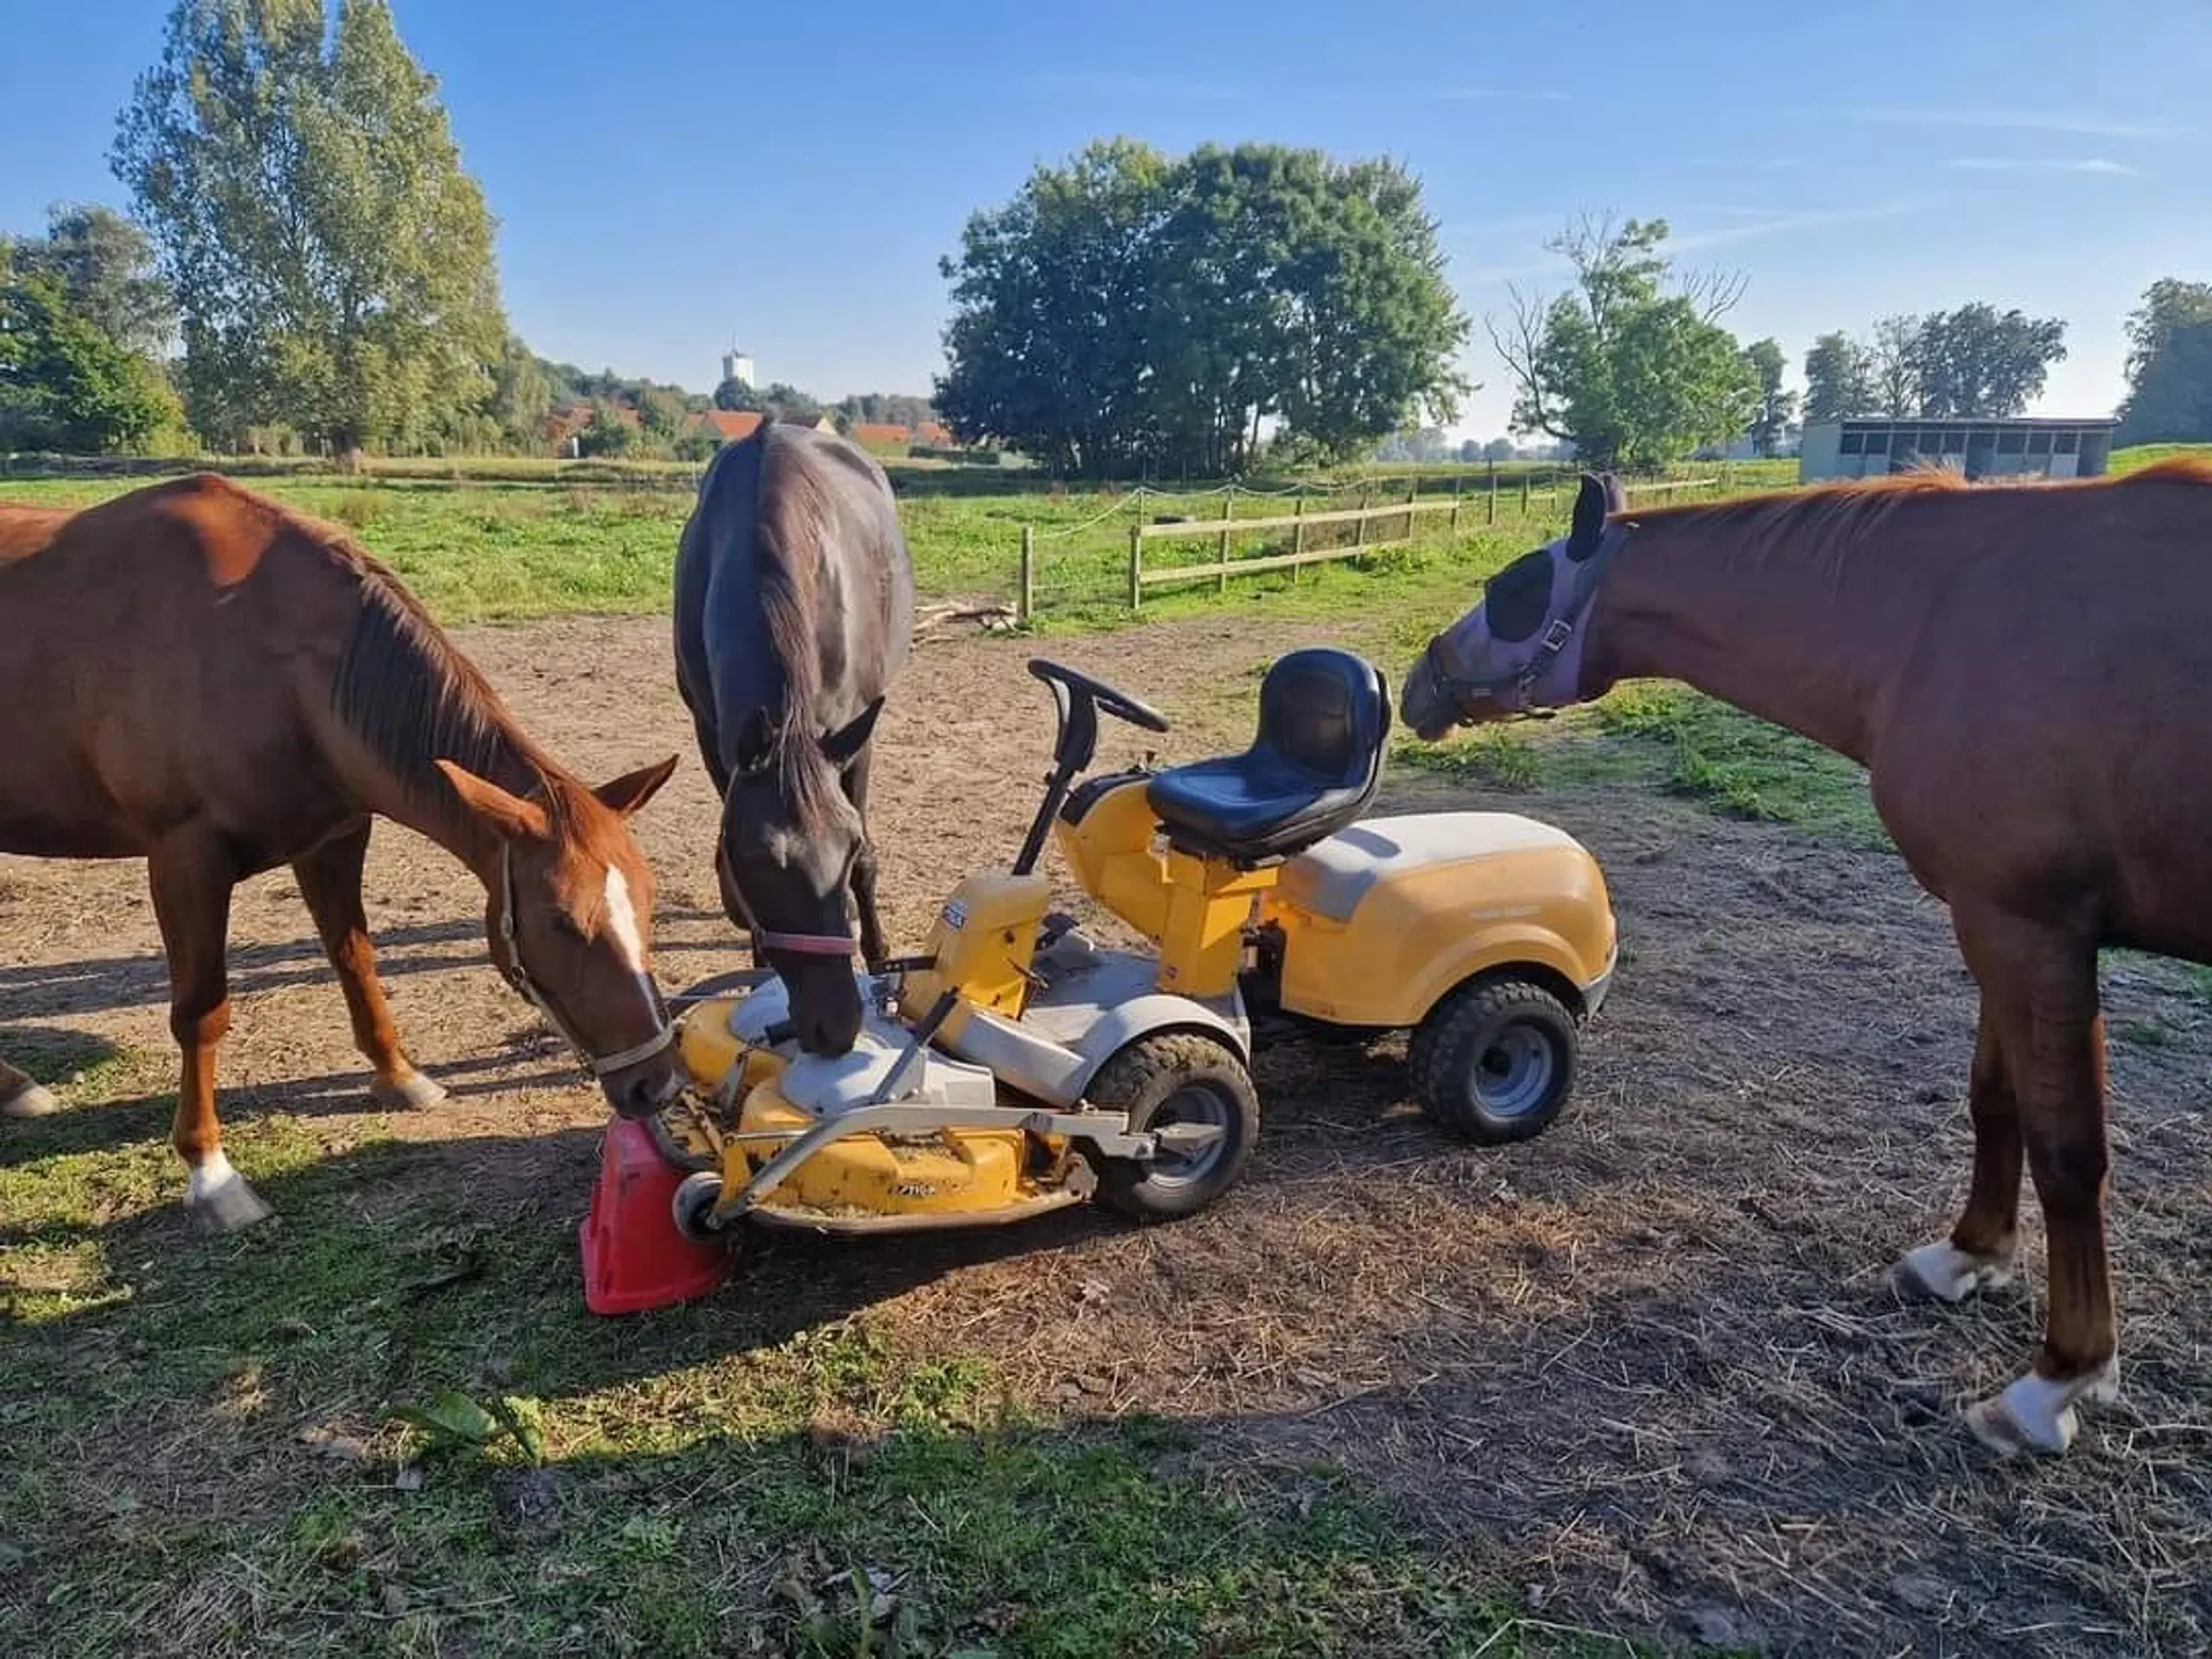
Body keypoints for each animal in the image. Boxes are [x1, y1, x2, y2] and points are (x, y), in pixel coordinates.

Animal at [0, 473, 681, 1230]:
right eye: (560, 921)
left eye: (648, 904)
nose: (657, 1085)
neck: (275, 659)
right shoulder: (186, 859)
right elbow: (201, 1013)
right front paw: (211, 1171)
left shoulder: (335, 838)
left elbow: (355, 957)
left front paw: (399, 1074)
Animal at [672, 422, 915, 1057]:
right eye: (758, 860)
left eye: (848, 847)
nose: (837, 1028)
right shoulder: (713, 736)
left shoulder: (854, 739)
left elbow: (868, 863)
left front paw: (877, 954)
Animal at [1397, 464, 2212, 1451]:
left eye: (1511, 587)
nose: (1418, 680)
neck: (1940, 623)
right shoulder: (1996, 921)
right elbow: (1995, 1102)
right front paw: (1967, 1256)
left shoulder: (2037, 929)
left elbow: (2068, 1151)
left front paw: (2059, 1379)